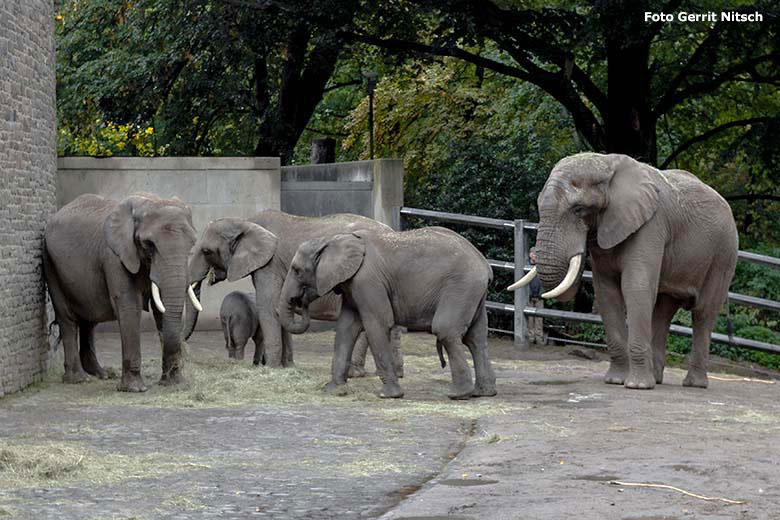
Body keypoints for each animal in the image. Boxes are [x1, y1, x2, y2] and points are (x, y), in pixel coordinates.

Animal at [43, 193, 203, 392]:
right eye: (149, 244)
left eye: (192, 244)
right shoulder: (114, 256)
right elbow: (129, 304)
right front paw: (135, 389)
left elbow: (160, 308)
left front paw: (174, 383)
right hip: (50, 263)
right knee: (67, 318)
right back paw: (79, 379)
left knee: (89, 320)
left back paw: (101, 374)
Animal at [183, 208, 402, 374]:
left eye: (206, 251)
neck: (246, 223)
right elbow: (279, 308)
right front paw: (286, 367)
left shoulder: (269, 264)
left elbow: (268, 307)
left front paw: (270, 369)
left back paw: (356, 373)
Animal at [276, 225, 494, 400]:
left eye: (296, 270)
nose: (300, 300)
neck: (332, 239)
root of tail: (484, 264)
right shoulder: (352, 285)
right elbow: (346, 328)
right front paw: (333, 390)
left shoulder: (367, 280)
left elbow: (378, 324)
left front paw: (388, 395)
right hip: (474, 292)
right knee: (476, 338)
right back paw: (483, 393)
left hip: (461, 286)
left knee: (445, 330)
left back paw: (459, 394)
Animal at [506, 154, 736, 390]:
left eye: (579, 209)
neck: (606, 165)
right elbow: (606, 292)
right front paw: (615, 381)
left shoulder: (651, 225)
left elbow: (635, 287)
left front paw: (637, 386)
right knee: (663, 312)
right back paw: (656, 378)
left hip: (724, 253)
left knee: (703, 312)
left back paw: (693, 384)